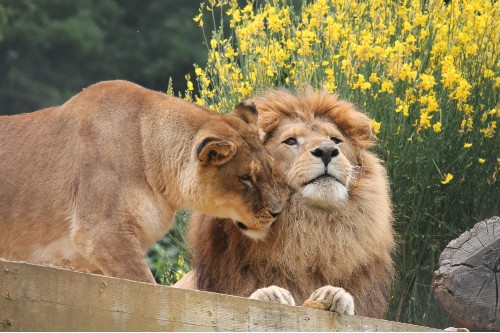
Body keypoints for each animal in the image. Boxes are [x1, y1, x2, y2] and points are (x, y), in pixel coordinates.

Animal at [175, 87, 394, 318]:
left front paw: (335, 296)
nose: (327, 151)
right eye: (290, 141)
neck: (311, 227)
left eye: (336, 140)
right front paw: (270, 295)